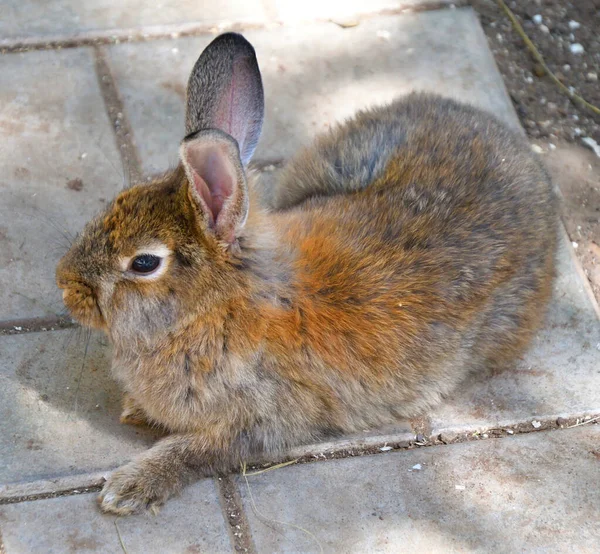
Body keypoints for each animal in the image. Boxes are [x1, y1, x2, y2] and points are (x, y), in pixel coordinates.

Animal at [56, 30, 556, 512]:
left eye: (144, 263)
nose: (65, 284)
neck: (217, 307)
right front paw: (135, 412)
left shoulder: (265, 420)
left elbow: (198, 452)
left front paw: (128, 488)